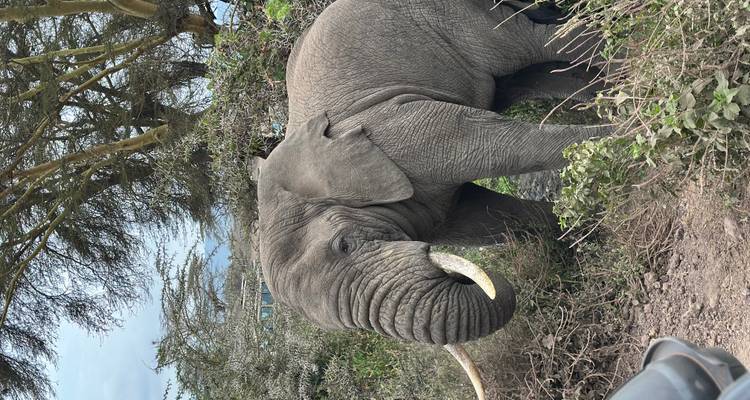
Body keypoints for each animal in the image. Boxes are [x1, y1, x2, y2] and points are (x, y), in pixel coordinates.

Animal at [255, 0, 608, 386]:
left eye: (344, 244)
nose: (479, 279)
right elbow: (482, 218)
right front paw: (580, 237)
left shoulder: (389, 129)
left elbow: (483, 143)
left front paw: (611, 150)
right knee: (529, 72)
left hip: (444, 17)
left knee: (533, 43)